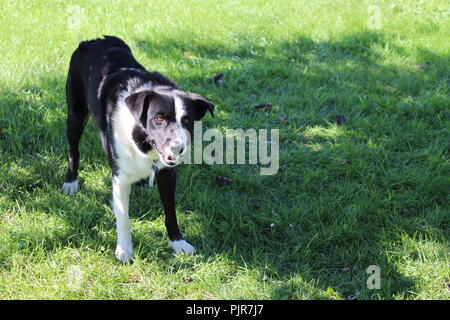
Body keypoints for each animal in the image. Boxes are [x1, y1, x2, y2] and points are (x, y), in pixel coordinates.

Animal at [61, 35, 214, 262]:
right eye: (158, 118)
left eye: (187, 120)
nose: (178, 148)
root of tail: (94, 40)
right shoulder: (120, 177)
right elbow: (123, 217)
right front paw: (124, 249)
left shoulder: (168, 173)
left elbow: (170, 211)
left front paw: (177, 242)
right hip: (76, 113)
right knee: (73, 149)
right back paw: (71, 181)